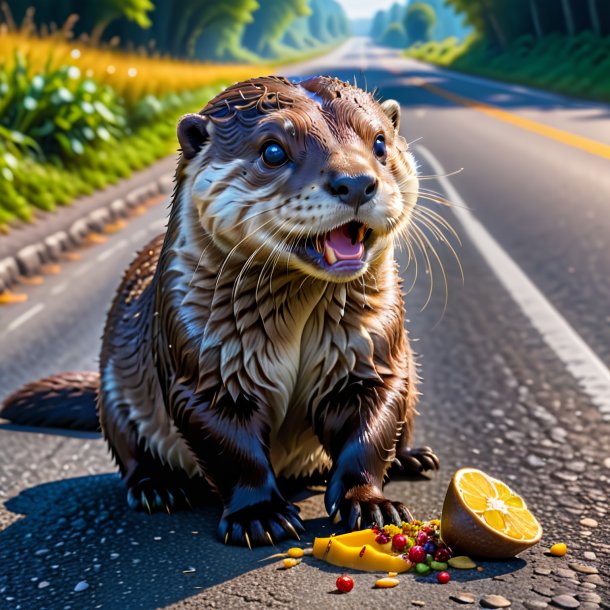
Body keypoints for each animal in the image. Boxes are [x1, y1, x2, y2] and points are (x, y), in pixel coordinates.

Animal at [1, 76, 436, 548]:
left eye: (379, 142)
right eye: (273, 150)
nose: (356, 182)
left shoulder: (371, 352)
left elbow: (369, 427)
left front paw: (371, 504)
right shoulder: (205, 363)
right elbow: (232, 448)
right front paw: (259, 515)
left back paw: (412, 458)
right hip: (114, 392)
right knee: (130, 451)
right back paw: (157, 487)